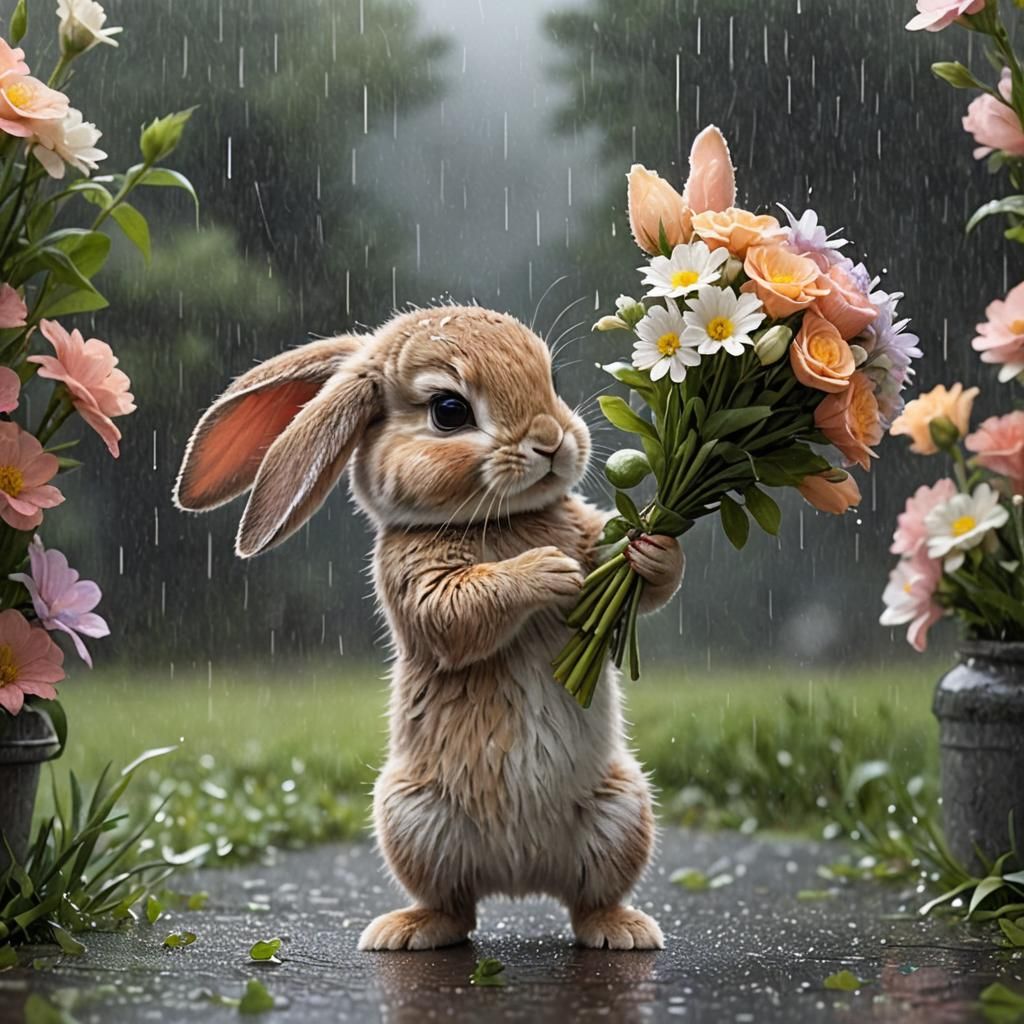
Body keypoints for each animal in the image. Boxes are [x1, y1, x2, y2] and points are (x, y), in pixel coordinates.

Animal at [174, 306, 684, 951]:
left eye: (551, 382)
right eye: (449, 410)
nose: (550, 441)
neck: (499, 518)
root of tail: (519, 879)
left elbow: (646, 580)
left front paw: (653, 548)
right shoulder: (418, 584)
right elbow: (461, 610)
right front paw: (551, 569)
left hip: (621, 809)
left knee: (586, 901)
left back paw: (624, 929)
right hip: (412, 818)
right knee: (454, 907)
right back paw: (404, 931)